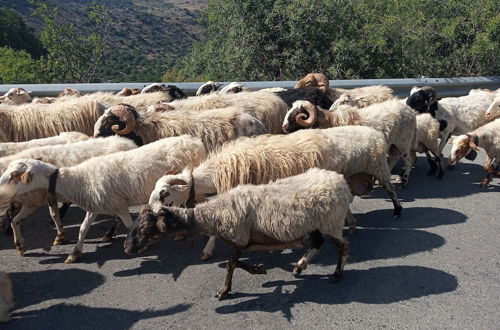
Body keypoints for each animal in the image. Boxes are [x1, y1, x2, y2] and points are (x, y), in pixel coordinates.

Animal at [0, 134, 207, 262]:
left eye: (14, 176)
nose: (1, 190)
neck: (76, 180)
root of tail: (195, 141)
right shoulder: (95, 206)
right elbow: (82, 229)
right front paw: (74, 254)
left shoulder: (120, 206)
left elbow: (129, 225)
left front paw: (139, 246)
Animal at [126, 168, 376, 300]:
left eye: (144, 227)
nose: (126, 248)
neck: (213, 215)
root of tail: (341, 180)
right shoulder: (240, 240)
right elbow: (237, 263)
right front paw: (258, 270)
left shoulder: (237, 237)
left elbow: (231, 265)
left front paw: (224, 291)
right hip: (313, 225)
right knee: (317, 243)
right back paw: (299, 266)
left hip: (331, 221)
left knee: (342, 246)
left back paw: (336, 274)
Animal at [148, 126, 402, 260]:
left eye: (164, 193)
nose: (151, 213)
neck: (215, 173)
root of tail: (373, 132)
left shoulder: (232, 199)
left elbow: (214, 232)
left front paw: (207, 251)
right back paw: (351, 223)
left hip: (377, 167)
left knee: (390, 188)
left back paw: (397, 210)